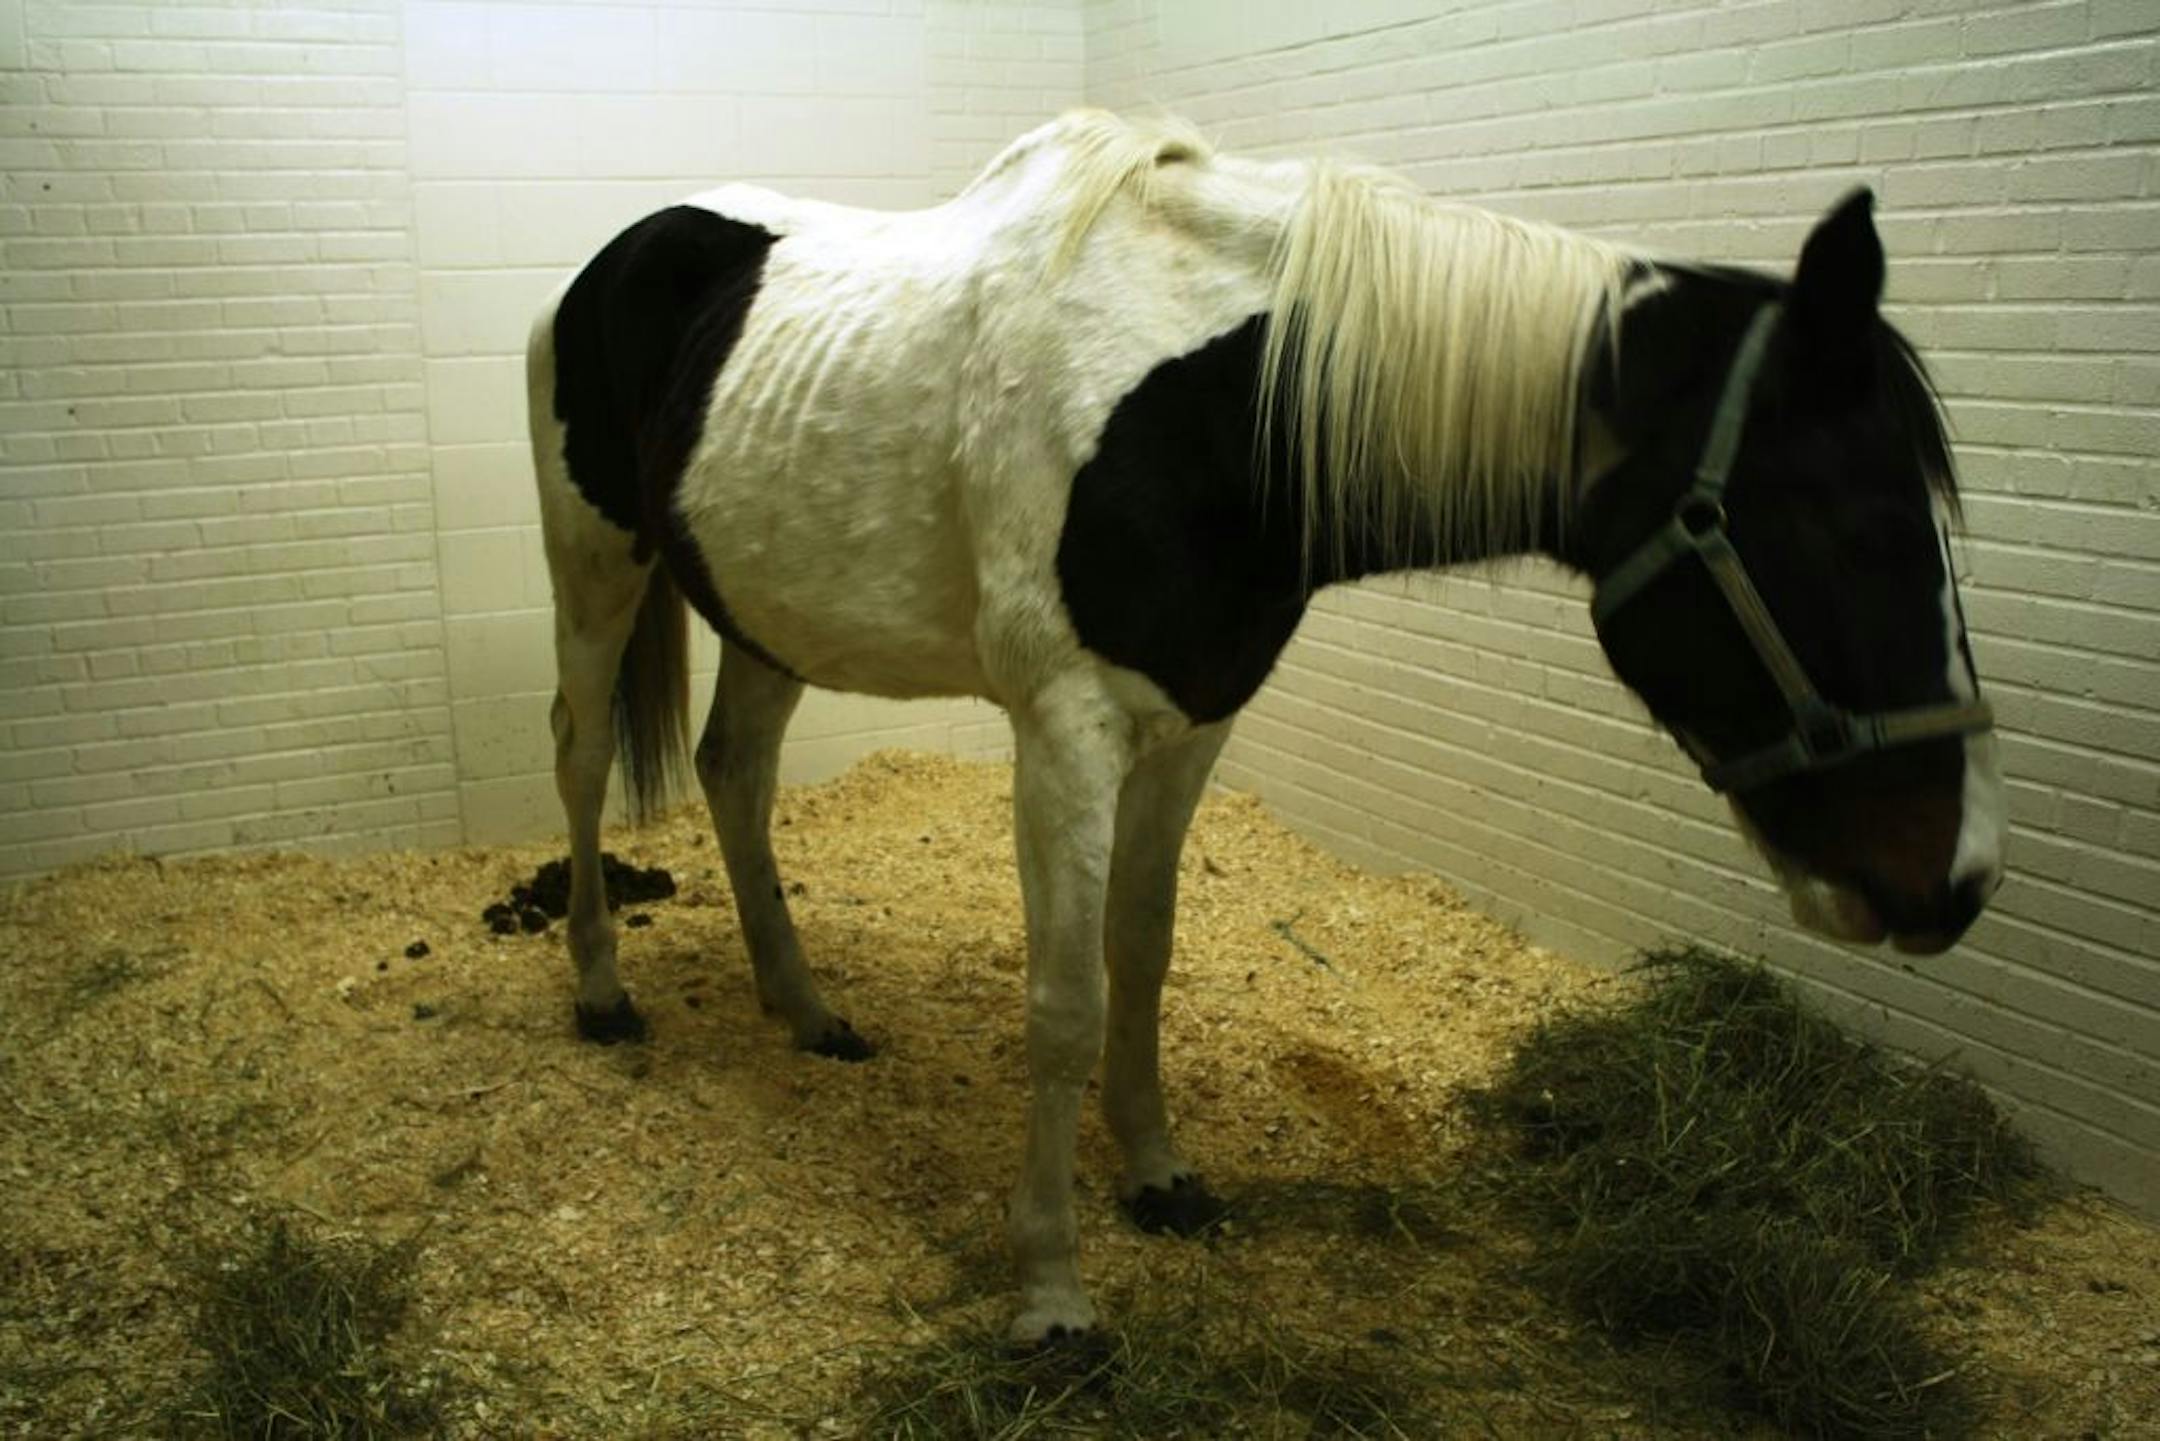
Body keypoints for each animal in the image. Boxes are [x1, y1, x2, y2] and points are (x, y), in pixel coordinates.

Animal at [524, 110, 2002, 1342]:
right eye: (1852, 529)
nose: (1959, 879)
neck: (1213, 407)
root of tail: (614, 259)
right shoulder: (1064, 728)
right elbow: (1064, 1001)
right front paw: (1053, 1291)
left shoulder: (1194, 718)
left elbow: (1144, 952)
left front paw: (1160, 1175)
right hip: (598, 567)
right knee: (583, 756)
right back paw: (602, 994)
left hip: (765, 603)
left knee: (734, 770)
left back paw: (804, 1006)